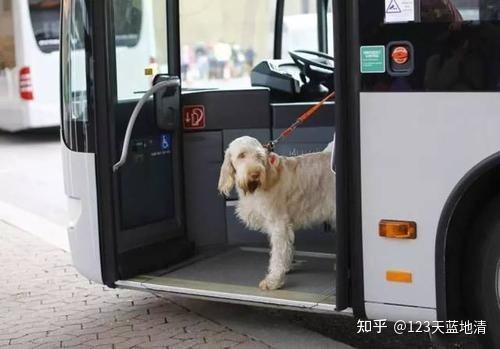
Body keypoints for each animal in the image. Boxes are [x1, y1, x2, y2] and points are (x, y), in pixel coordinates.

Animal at [218, 136, 336, 290]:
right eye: (241, 155)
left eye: (259, 156)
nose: (255, 174)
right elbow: (286, 249)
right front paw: (285, 268)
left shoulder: (279, 224)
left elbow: (278, 254)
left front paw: (273, 280)